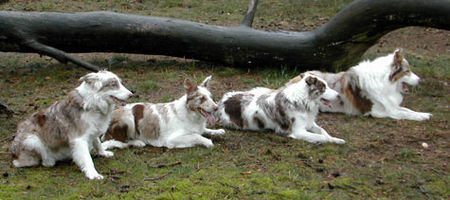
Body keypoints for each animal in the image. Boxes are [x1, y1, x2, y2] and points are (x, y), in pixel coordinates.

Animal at [216, 73, 346, 144]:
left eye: (327, 86)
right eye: (323, 87)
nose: (339, 95)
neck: (304, 100)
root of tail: (222, 102)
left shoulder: (310, 123)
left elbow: (323, 132)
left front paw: (337, 140)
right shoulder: (298, 131)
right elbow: (322, 137)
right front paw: (329, 140)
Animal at [292, 48, 432, 120]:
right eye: (407, 71)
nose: (420, 80)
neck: (385, 82)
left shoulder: (389, 105)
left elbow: (406, 109)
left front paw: (423, 113)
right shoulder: (377, 111)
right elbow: (404, 113)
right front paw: (423, 116)